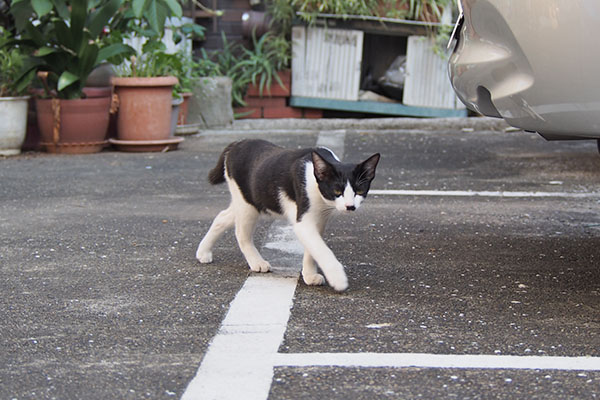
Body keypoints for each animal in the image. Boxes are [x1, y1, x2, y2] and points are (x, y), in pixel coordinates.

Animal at [197, 139, 380, 292]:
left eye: (359, 191)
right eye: (337, 191)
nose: (350, 206)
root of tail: (236, 144)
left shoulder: (319, 219)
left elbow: (313, 248)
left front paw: (309, 275)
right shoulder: (303, 221)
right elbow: (321, 248)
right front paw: (338, 278)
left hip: (247, 201)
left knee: (222, 217)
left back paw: (203, 253)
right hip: (247, 205)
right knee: (241, 233)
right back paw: (257, 262)